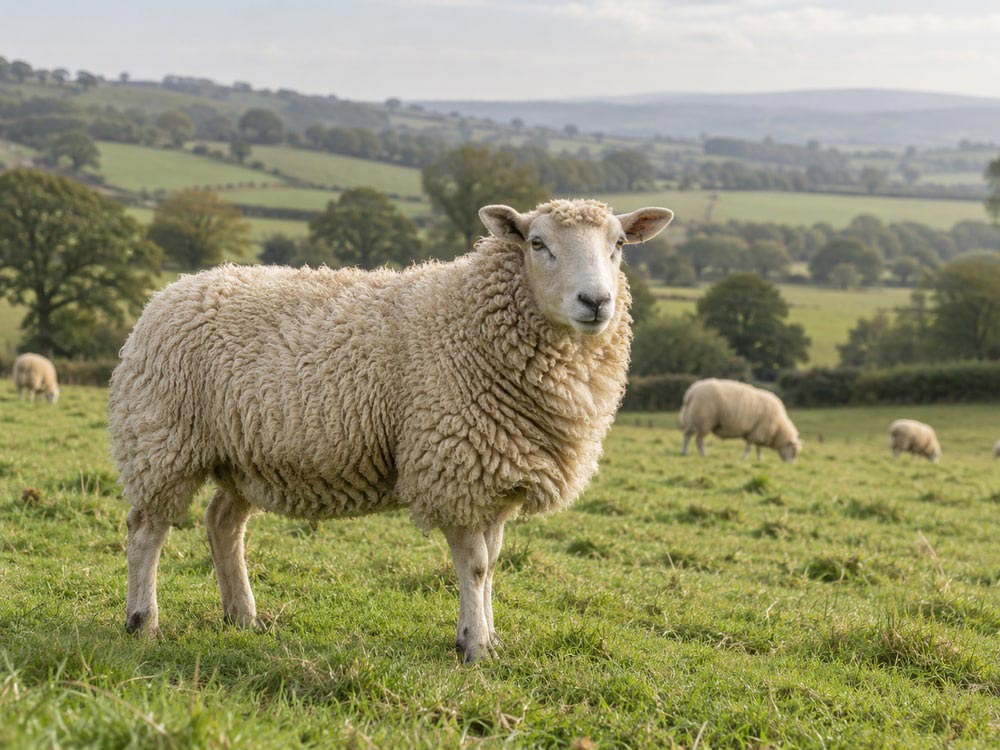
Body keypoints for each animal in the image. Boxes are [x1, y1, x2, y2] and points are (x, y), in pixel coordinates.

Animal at [107, 198, 673, 662]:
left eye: (619, 245)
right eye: (538, 243)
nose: (595, 302)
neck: (470, 321)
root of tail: (171, 291)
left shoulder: (495, 472)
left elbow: (494, 564)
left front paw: (491, 637)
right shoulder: (454, 468)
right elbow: (474, 566)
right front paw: (473, 646)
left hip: (241, 453)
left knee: (222, 524)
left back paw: (242, 617)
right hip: (162, 439)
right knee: (145, 530)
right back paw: (142, 622)